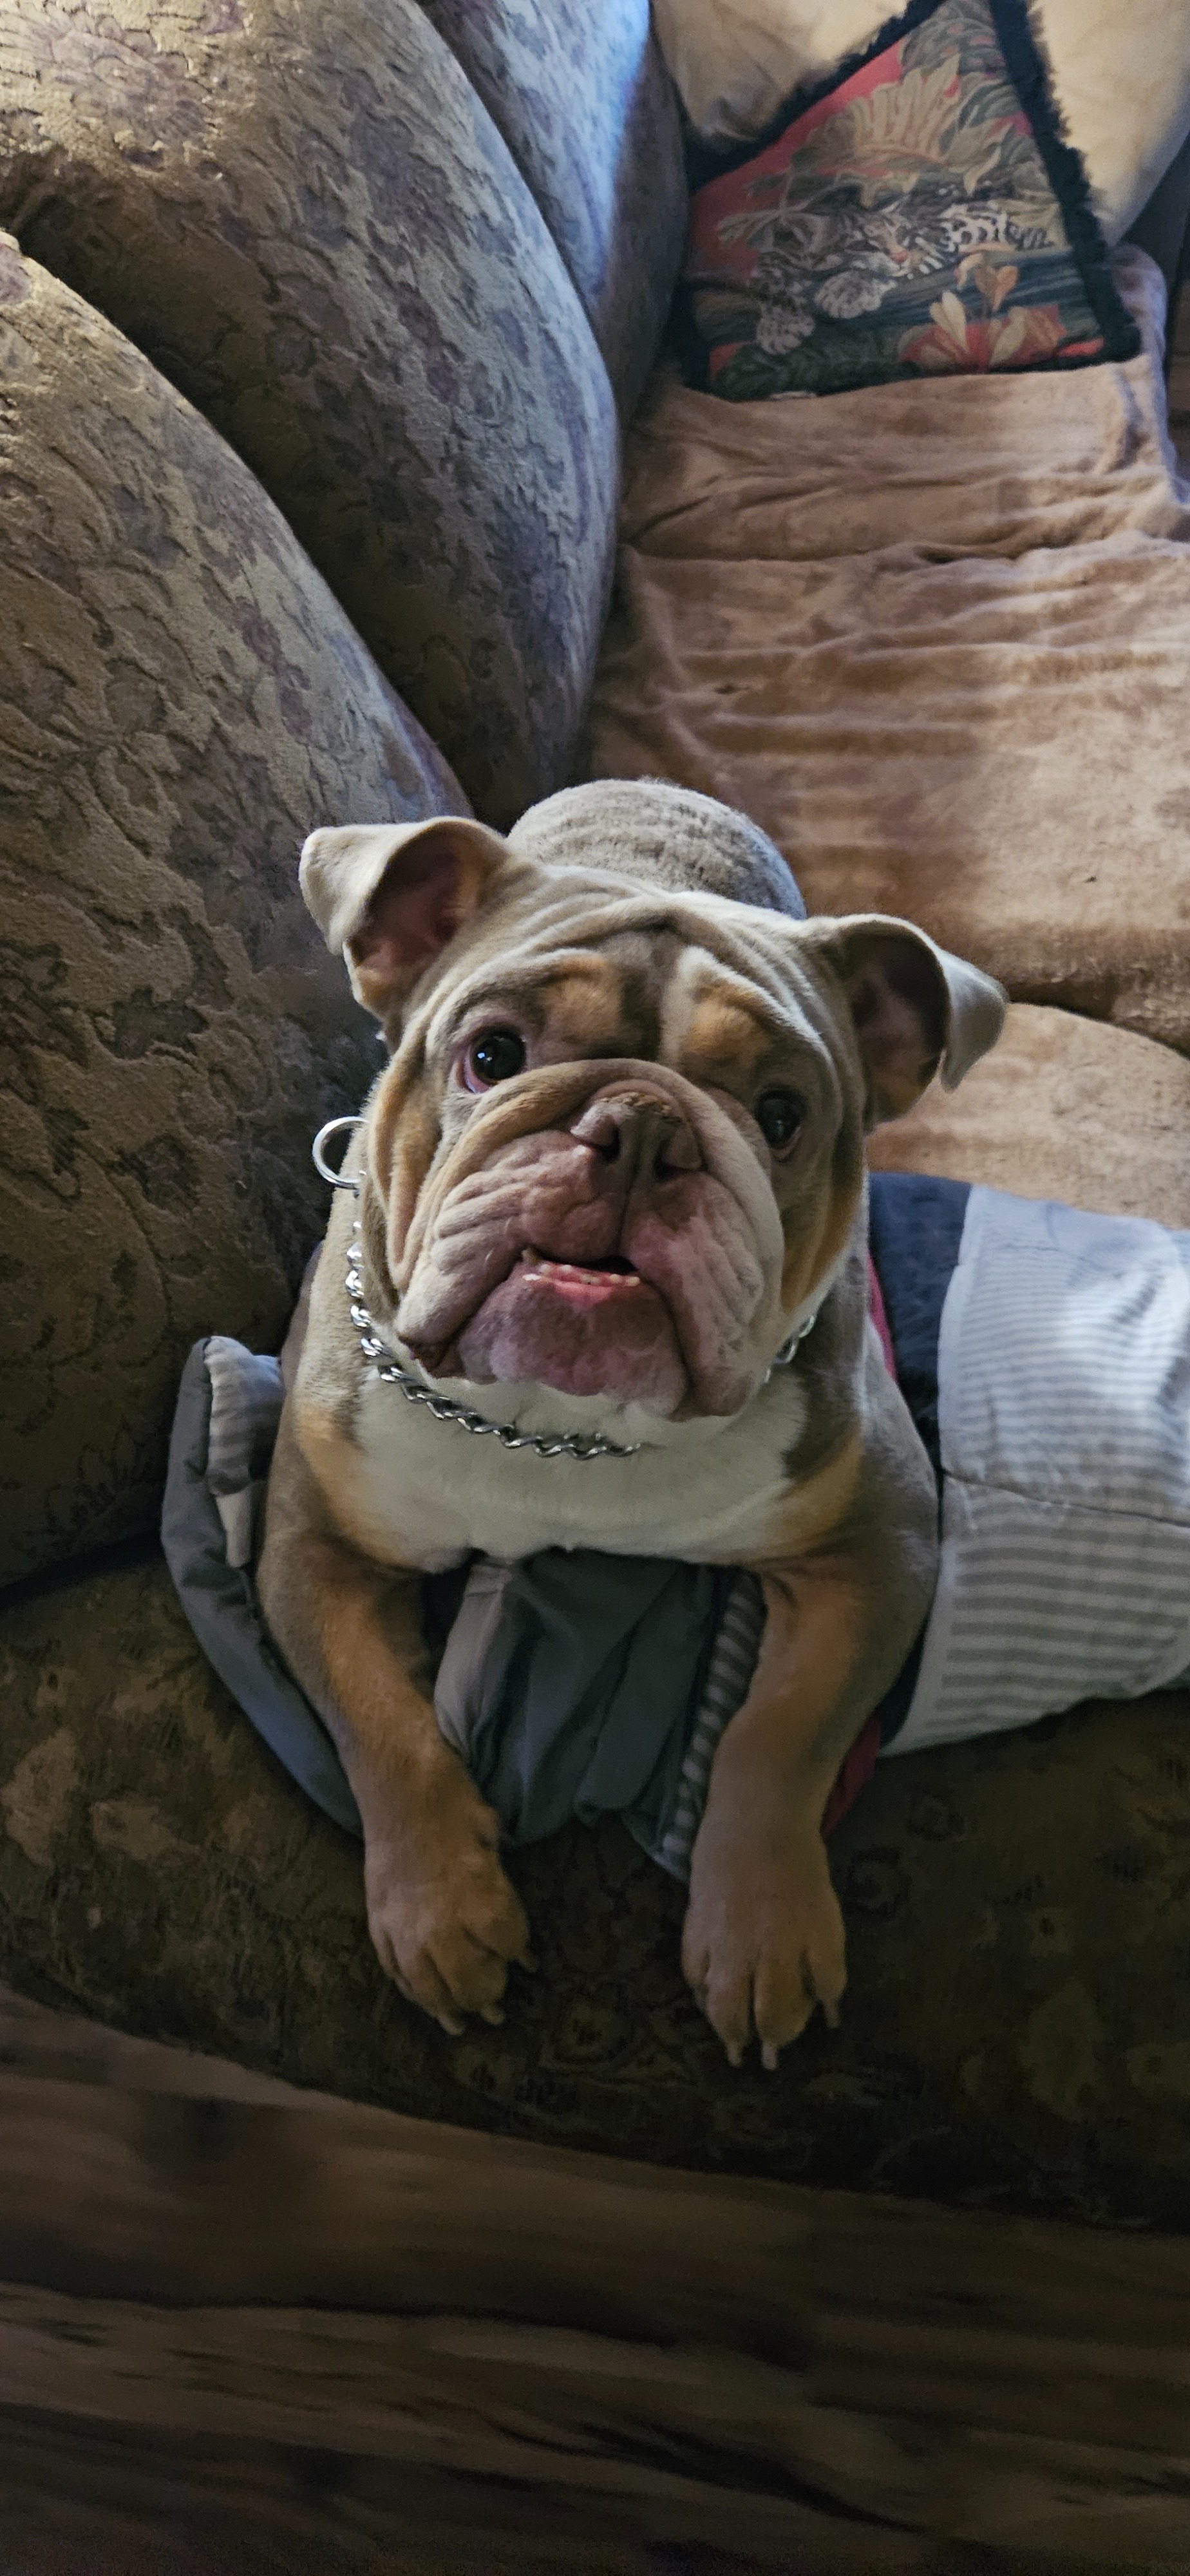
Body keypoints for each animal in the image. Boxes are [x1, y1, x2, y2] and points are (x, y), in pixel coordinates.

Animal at [260, 782, 1004, 2068]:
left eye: (781, 1116)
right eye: (490, 1056)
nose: (643, 1126)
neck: (557, 1426)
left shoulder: (880, 1542)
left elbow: (778, 1736)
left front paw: (760, 1931)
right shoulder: (315, 1547)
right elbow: (378, 1724)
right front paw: (441, 1912)